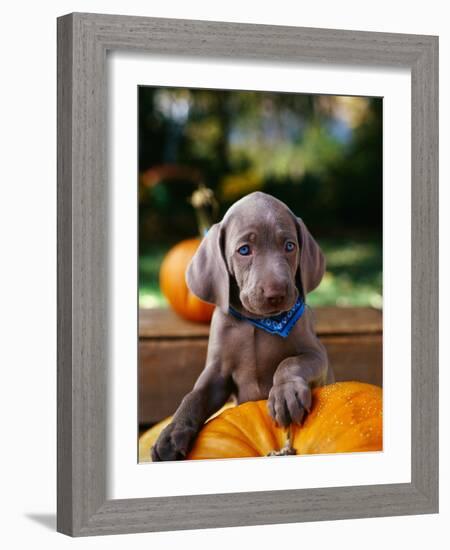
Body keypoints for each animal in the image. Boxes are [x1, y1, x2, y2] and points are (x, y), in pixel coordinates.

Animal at [153, 192, 332, 464]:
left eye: (290, 246)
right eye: (244, 250)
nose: (276, 294)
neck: (258, 323)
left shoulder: (317, 355)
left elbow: (290, 362)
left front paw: (285, 394)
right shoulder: (217, 373)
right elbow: (194, 397)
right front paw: (172, 433)